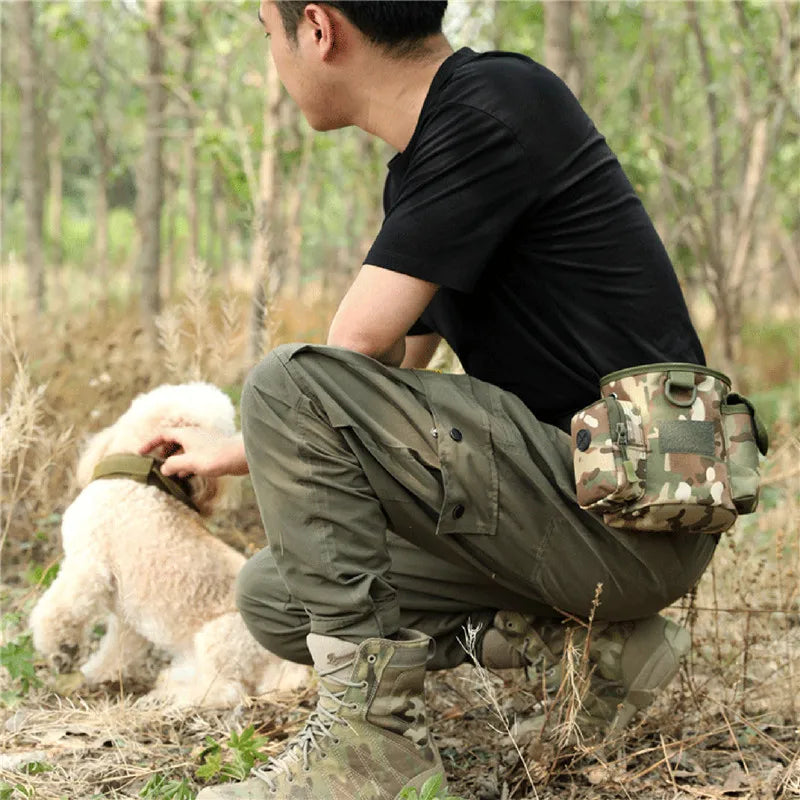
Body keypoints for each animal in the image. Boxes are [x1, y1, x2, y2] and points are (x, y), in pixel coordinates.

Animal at [29, 384, 310, 708]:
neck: (143, 478)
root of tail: (292, 668)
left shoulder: (87, 567)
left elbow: (58, 610)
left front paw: (60, 648)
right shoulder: (126, 616)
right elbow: (119, 649)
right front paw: (99, 673)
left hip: (219, 639)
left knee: (225, 690)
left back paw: (174, 694)